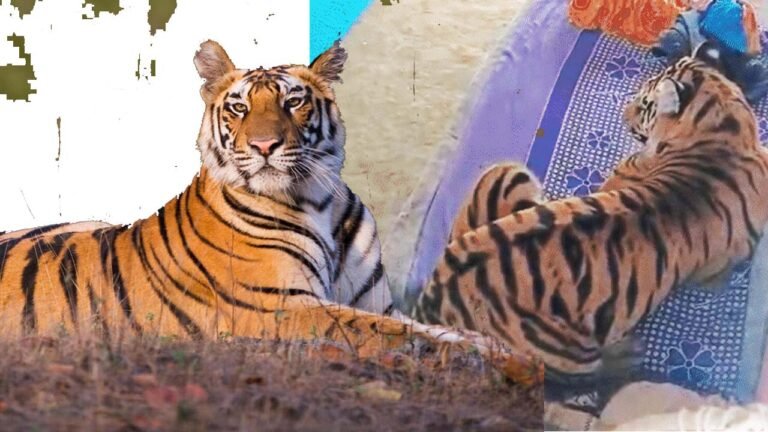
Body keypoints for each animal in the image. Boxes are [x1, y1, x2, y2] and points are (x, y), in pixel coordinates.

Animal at [0, 40, 517, 363]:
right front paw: (504, 361)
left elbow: (432, 328)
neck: (319, 202)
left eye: (293, 103)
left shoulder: (376, 303)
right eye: (239, 107)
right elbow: (397, 334)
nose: (265, 145)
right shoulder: (283, 308)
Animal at [413, 41, 768, 407]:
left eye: (645, 105)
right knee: (577, 381)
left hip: (505, 174)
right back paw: (627, 355)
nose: (624, 115)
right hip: (566, 348)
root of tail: (434, 296)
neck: (720, 127)